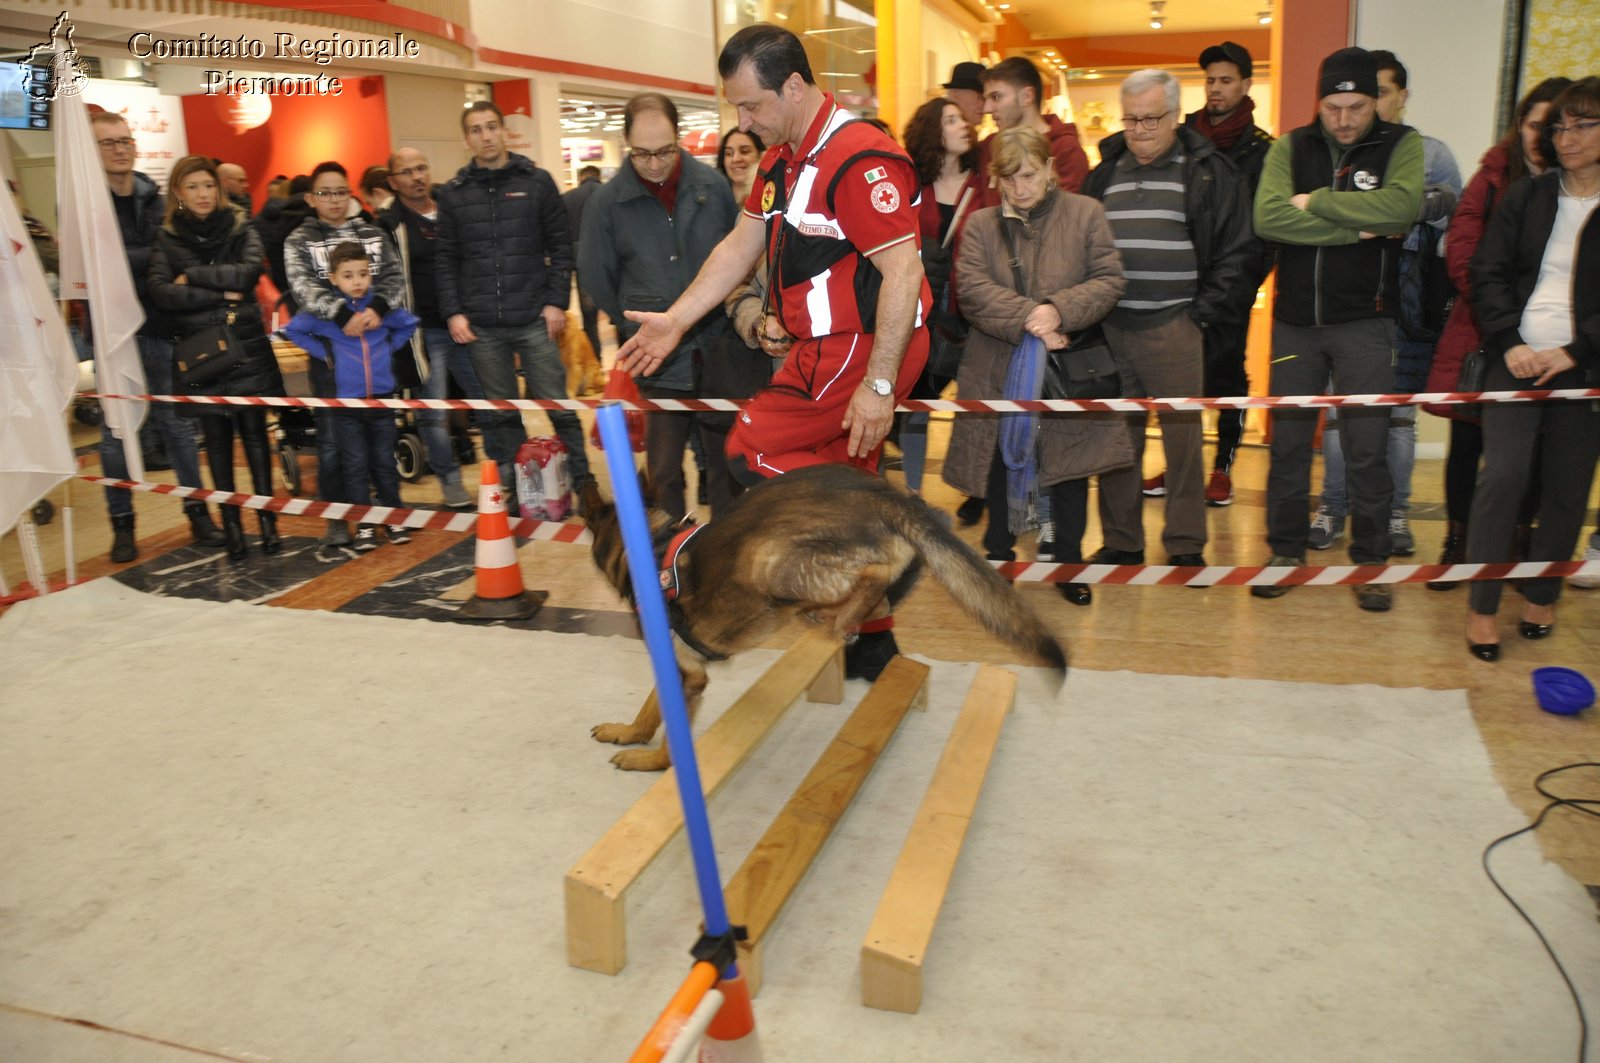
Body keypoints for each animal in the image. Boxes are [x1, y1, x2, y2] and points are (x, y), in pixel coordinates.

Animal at [582, 461, 1068, 768]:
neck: (649, 546)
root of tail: (883, 495)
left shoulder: (688, 675)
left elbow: (671, 739)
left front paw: (650, 760)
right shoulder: (676, 668)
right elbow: (650, 708)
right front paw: (629, 732)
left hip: (768, 559)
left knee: (873, 576)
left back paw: (839, 619)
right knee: (882, 593)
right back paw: (836, 617)